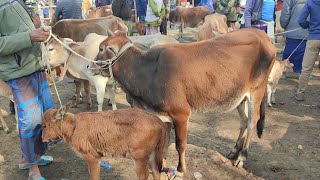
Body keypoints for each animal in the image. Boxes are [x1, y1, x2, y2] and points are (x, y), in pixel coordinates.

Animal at [42, 102, 172, 180]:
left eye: (44, 125)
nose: (42, 139)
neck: (74, 126)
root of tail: (157, 120)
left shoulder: (92, 158)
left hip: (140, 157)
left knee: (145, 175)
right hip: (153, 154)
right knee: (156, 172)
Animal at [91, 28, 276, 176]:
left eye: (101, 48)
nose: (89, 67)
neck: (147, 70)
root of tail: (263, 35)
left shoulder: (181, 114)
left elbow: (180, 145)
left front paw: (180, 169)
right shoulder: (161, 116)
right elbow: (163, 144)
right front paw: (161, 165)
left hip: (256, 91)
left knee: (252, 122)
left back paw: (242, 157)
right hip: (239, 97)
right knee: (243, 121)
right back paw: (234, 151)